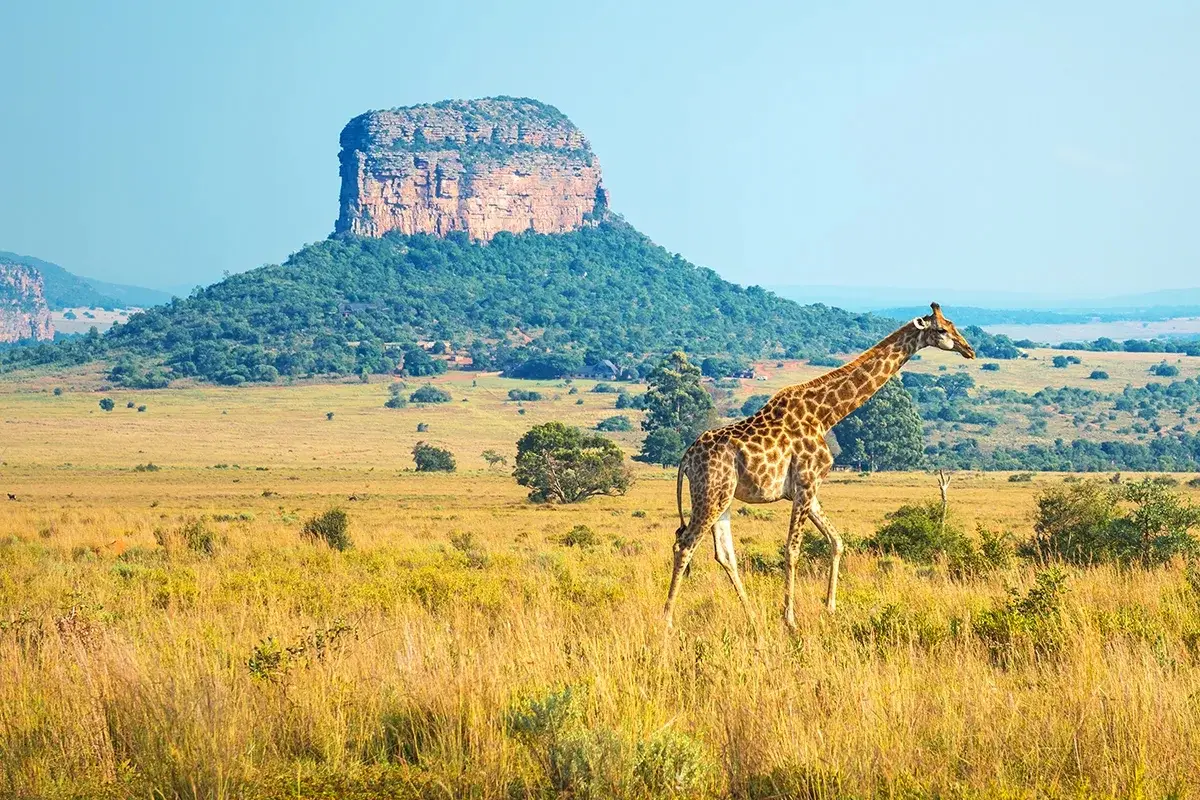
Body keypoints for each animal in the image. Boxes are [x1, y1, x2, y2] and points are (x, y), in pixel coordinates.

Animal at [663, 303, 975, 632]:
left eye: (953, 324)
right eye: (941, 329)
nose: (969, 350)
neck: (825, 415)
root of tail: (686, 457)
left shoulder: (809, 490)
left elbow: (836, 541)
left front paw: (830, 607)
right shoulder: (805, 484)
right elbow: (792, 549)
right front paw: (789, 619)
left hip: (723, 497)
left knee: (724, 554)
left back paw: (752, 617)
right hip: (711, 494)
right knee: (684, 545)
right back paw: (667, 619)